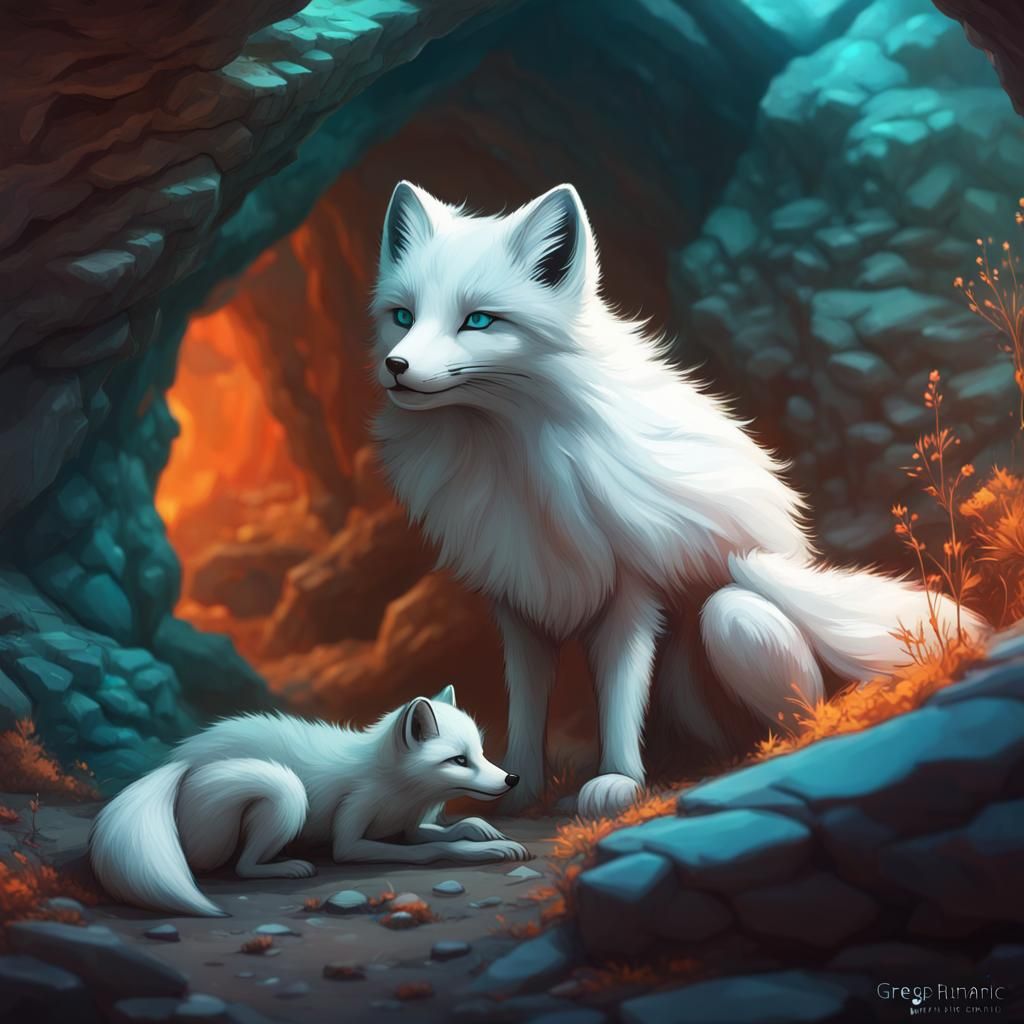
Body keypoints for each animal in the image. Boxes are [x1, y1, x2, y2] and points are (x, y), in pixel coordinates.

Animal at [88, 686, 529, 917]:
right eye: (458, 761)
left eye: (481, 753)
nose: (512, 778)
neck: (400, 788)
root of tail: (177, 764)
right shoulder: (351, 834)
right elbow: (431, 849)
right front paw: (481, 848)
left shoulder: (406, 825)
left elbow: (446, 830)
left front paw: (483, 830)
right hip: (282, 791)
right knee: (244, 866)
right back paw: (286, 865)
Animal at [370, 180, 990, 819]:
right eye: (403, 316)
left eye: (478, 320)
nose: (396, 366)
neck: (511, 458)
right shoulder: (519, 598)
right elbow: (525, 705)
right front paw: (515, 788)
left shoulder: (633, 588)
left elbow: (620, 694)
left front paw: (617, 782)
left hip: (736, 617)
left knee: (804, 712)